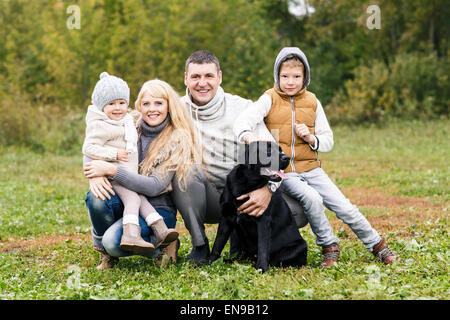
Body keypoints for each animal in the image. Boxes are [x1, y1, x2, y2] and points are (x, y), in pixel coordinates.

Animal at [209, 141, 308, 272]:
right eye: (268, 151)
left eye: (280, 150)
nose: (286, 158)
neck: (247, 185)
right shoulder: (226, 216)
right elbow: (217, 243)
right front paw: (209, 262)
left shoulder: (263, 219)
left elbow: (262, 247)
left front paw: (261, 268)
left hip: (301, 246)